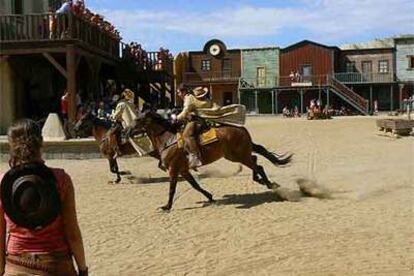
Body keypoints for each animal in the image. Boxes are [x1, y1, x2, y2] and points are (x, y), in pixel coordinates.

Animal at [136, 111, 292, 210]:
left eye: (138, 120)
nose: (129, 131)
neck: (168, 139)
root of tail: (241, 129)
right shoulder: (183, 170)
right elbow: (195, 186)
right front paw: (210, 197)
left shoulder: (174, 169)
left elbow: (172, 189)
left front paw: (167, 206)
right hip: (238, 155)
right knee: (255, 161)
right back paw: (262, 181)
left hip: (238, 156)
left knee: (257, 166)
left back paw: (269, 184)